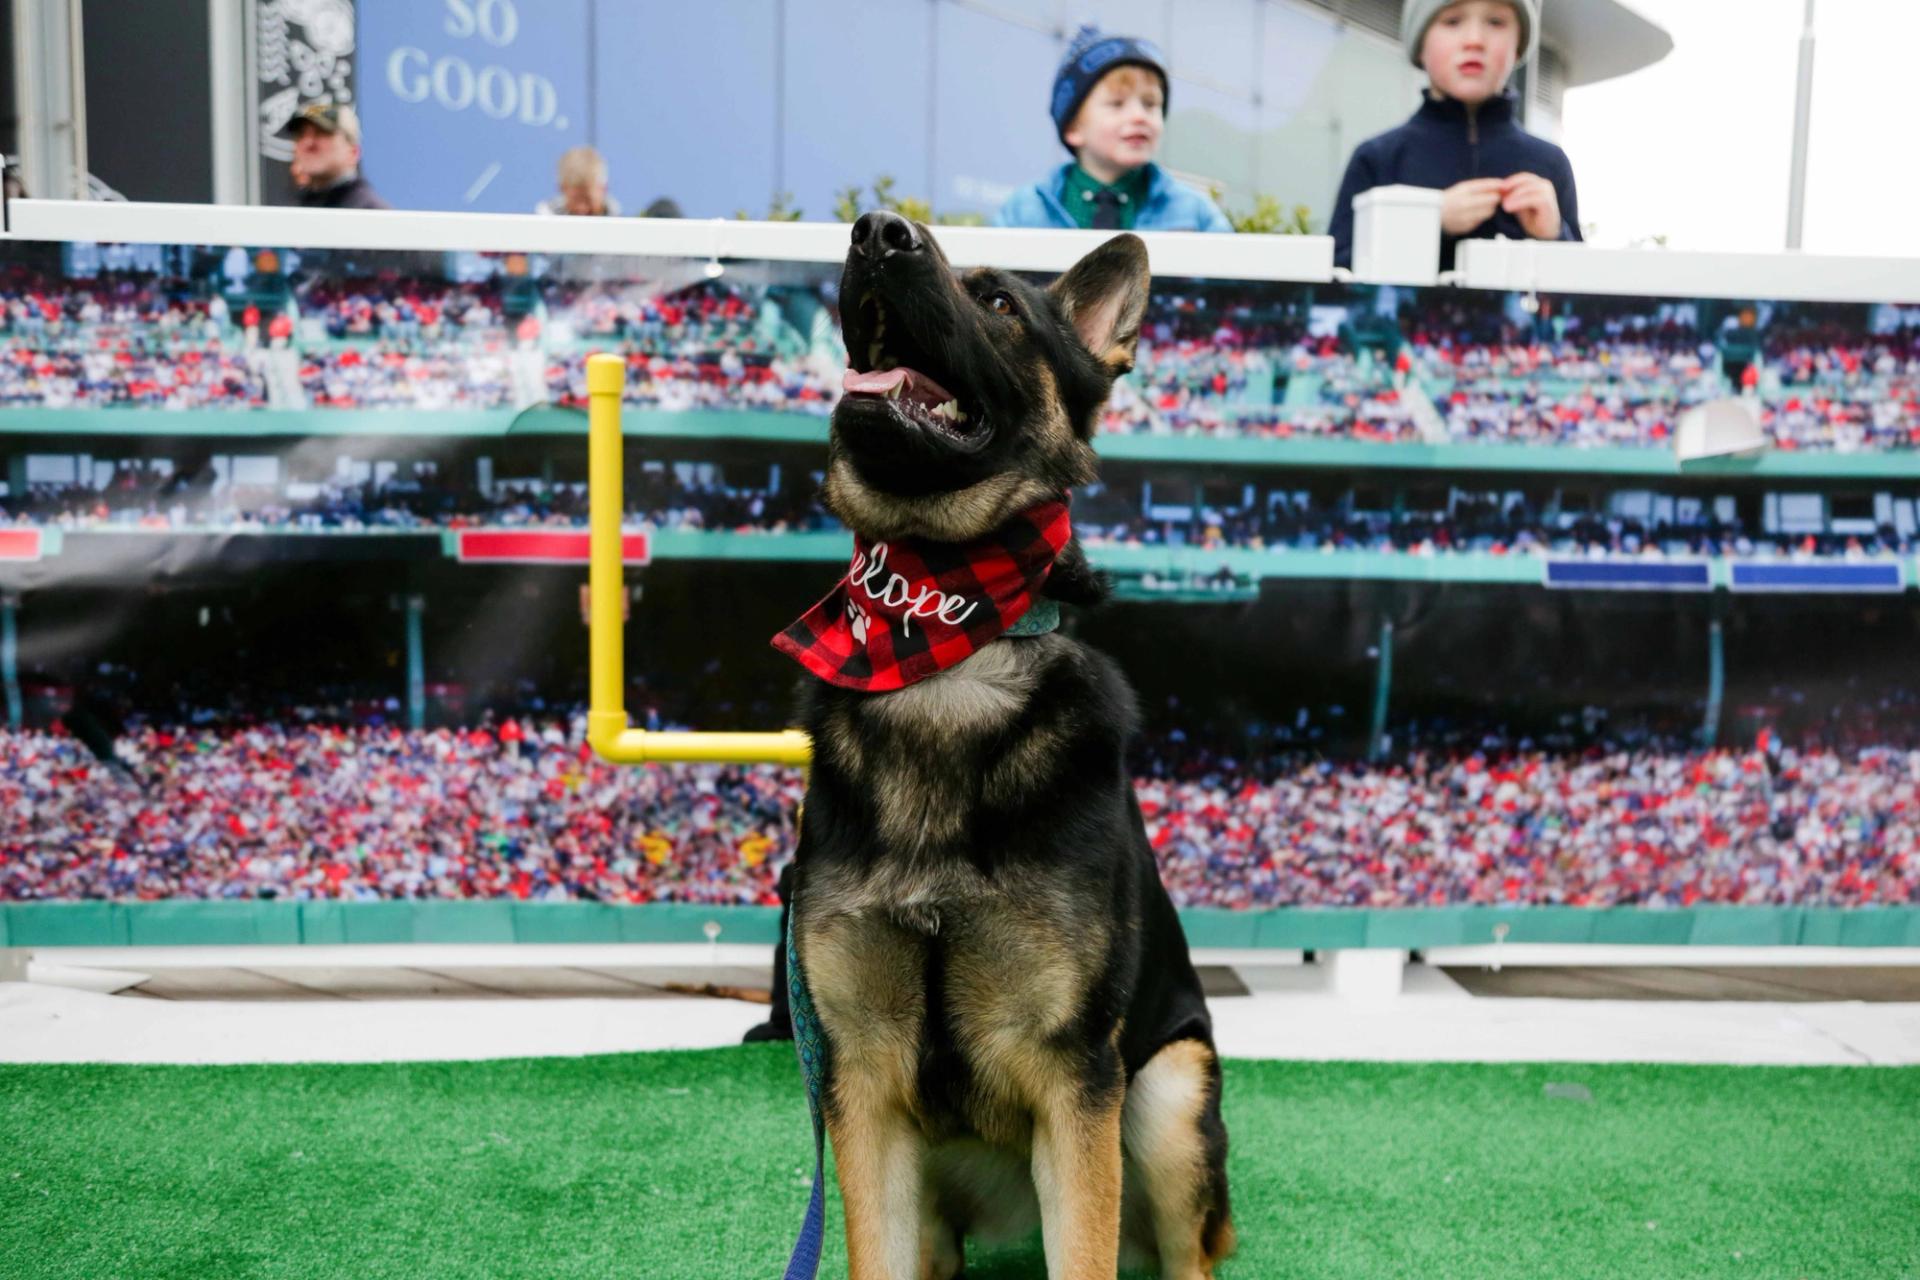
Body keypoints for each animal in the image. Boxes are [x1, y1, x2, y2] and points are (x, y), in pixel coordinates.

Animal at [787, 213, 1236, 1280]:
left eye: (998, 303)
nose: (876, 232)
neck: (940, 643)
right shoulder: (860, 1089)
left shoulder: (1076, 1083)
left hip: (1166, 1095)